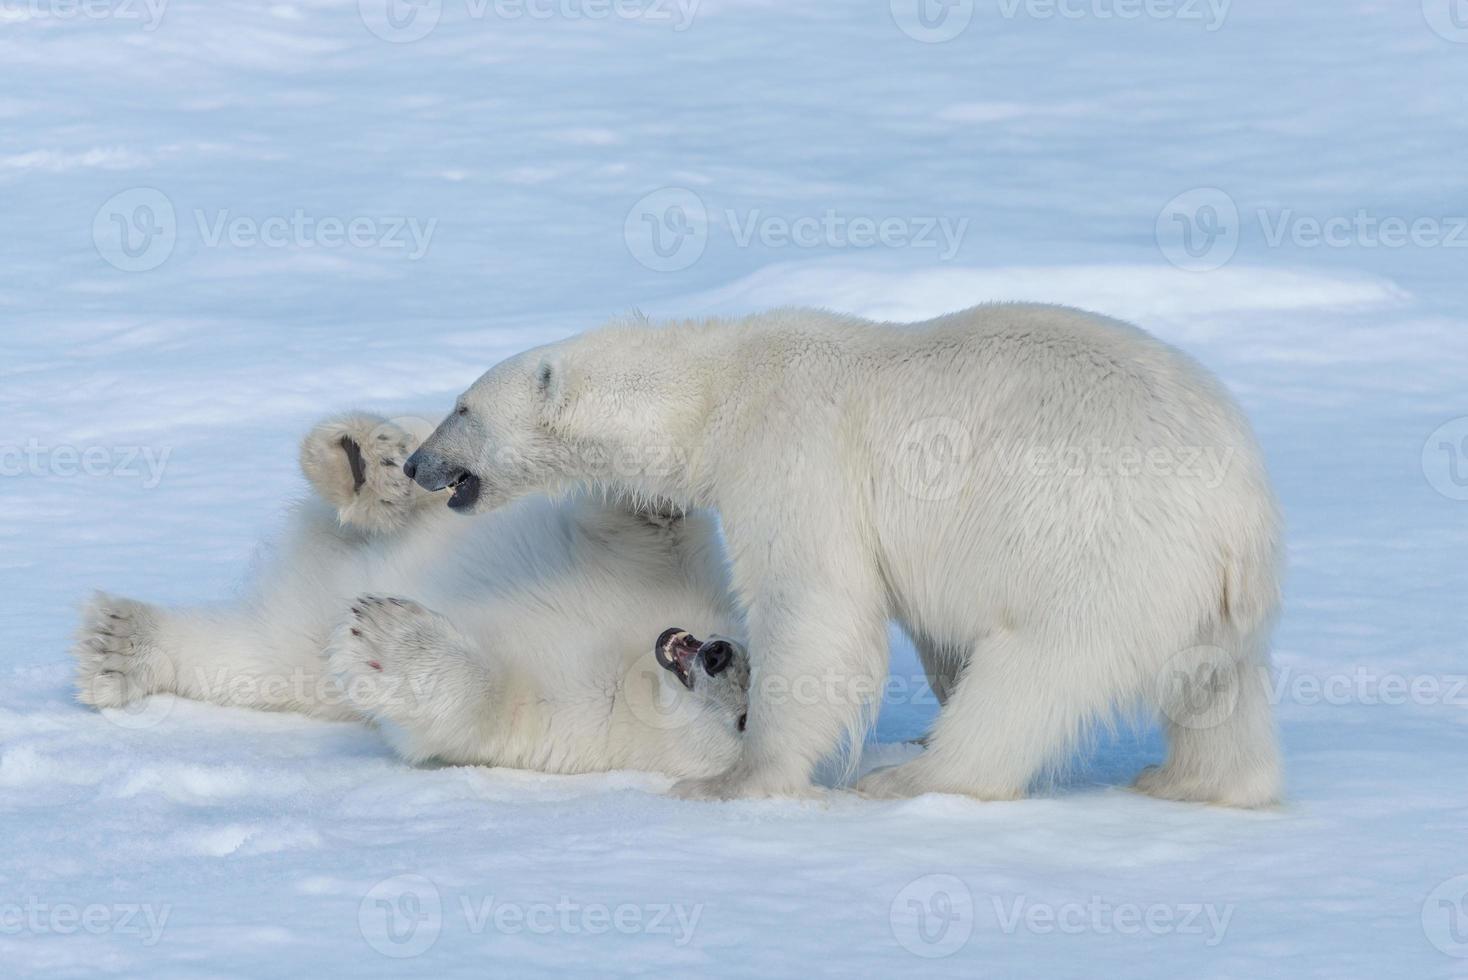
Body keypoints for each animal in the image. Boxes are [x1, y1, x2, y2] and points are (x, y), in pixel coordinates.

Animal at [73, 410, 751, 774]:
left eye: (748, 720)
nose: (720, 653)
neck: (636, 658)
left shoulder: (584, 726)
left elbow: (478, 711)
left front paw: (386, 639)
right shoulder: (678, 574)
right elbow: (646, 522)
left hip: (296, 652)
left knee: (252, 658)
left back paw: (114, 644)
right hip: (438, 506)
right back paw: (363, 463)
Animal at [411, 302, 1285, 809]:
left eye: (461, 407)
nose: (417, 464)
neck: (719, 389)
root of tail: (1240, 512)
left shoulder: (796, 449)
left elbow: (815, 602)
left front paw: (732, 778)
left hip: (1104, 549)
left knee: (1036, 669)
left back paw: (912, 779)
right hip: (1201, 591)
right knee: (1220, 686)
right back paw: (1196, 780)